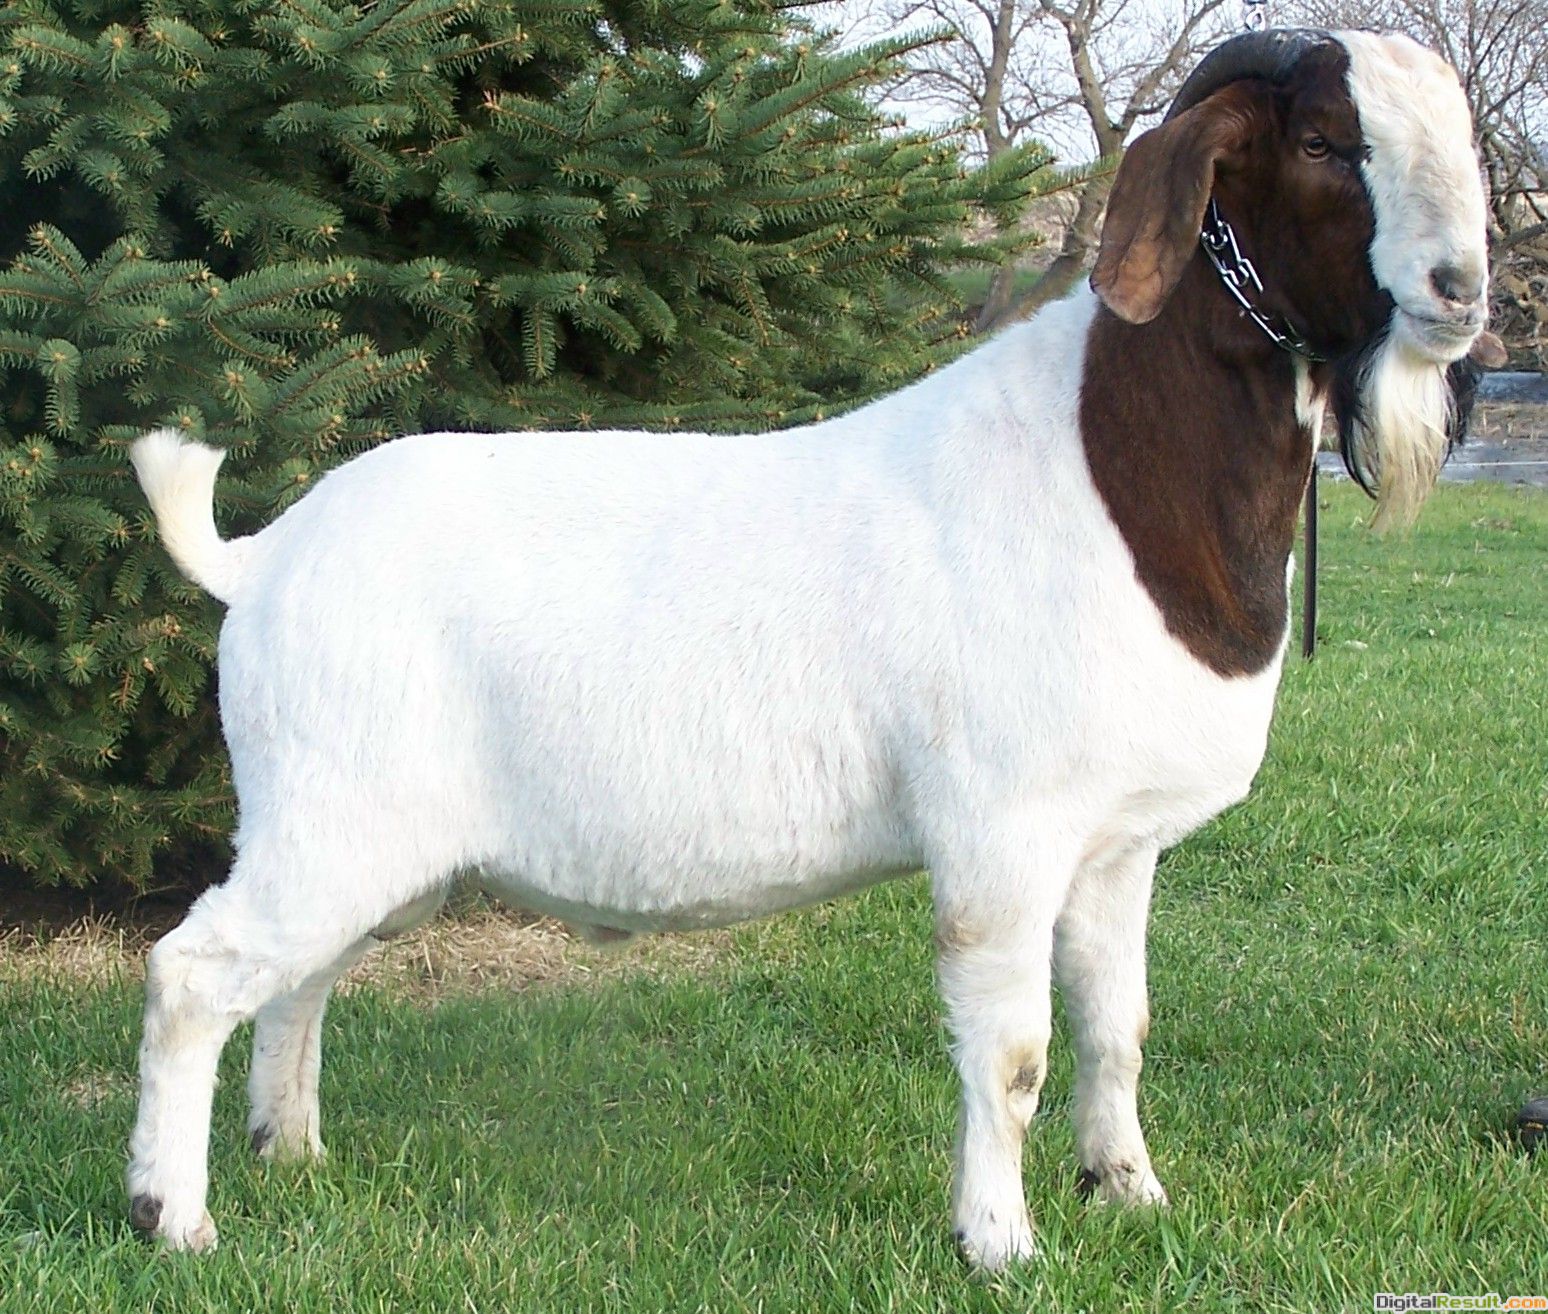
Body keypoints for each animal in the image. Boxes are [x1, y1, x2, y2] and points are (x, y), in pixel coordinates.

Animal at [124, 29, 1500, 1267]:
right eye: (1322, 142)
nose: (1463, 290)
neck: (1111, 473)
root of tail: (262, 557)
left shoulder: (1116, 847)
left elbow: (1119, 1028)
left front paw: (1131, 1197)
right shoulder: (1001, 833)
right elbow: (1013, 1054)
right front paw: (1000, 1245)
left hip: (367, 841)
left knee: (299, 980)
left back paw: (293, 1152)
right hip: (329, 813)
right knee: (194, 975)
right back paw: (173, 1219)